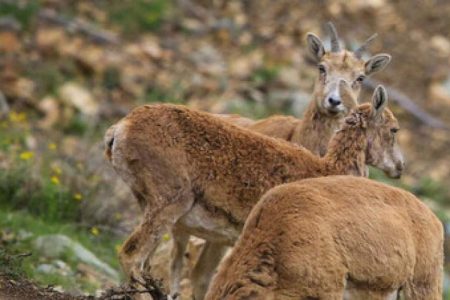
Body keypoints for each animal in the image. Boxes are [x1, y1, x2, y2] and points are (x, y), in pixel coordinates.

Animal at [105, 83, 404, 298]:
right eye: (394, 129)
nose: (399, 167)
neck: (327, 169)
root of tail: (120, 129)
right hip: (168, 204)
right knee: (131, 257)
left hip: (151, 208)